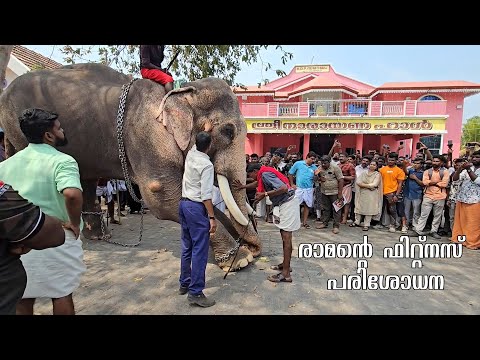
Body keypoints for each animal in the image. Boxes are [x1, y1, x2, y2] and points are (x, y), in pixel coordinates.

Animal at [0, 63, 260, 270]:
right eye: (228, 131)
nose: (255, 249)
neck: (182, 92)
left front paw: (243, 252)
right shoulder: (147, 135)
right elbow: (162, 197)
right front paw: (241, 260)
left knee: (84, 179)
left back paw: (99, 236)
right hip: (21, 133)